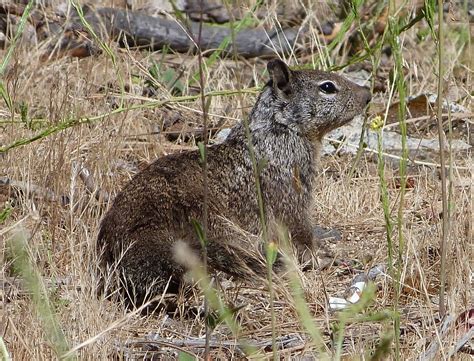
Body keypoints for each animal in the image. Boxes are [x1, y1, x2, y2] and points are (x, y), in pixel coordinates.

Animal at [96, 59, 370, 304]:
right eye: (327, 87)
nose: (367, 94)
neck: (278, 130)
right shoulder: (292, 195)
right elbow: (301, 233)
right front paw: (323, 256)